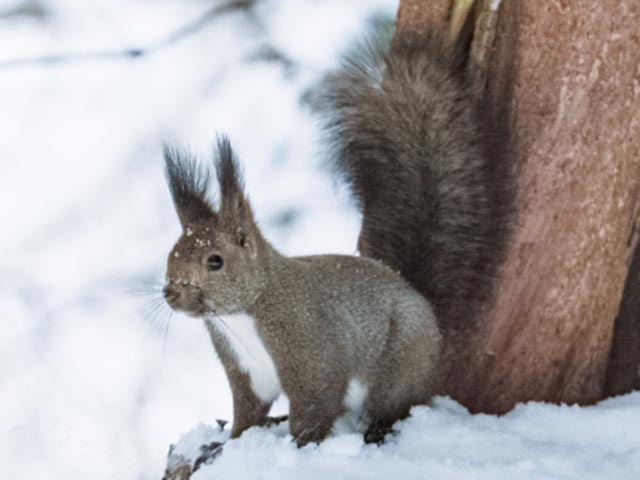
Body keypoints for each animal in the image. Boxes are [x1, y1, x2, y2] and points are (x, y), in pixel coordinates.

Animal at [162, 20, 512, 446]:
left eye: (215, 261)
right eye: (172, 253)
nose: (171, 292)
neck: (249, 309)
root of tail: (420, 298)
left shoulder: (310, 353)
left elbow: (314, 408)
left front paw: (298, 447)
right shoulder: (245, 370)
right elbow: (248, 412)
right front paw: (227, 444)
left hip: (398, 366)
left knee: (393, 405)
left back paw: (377, 431)